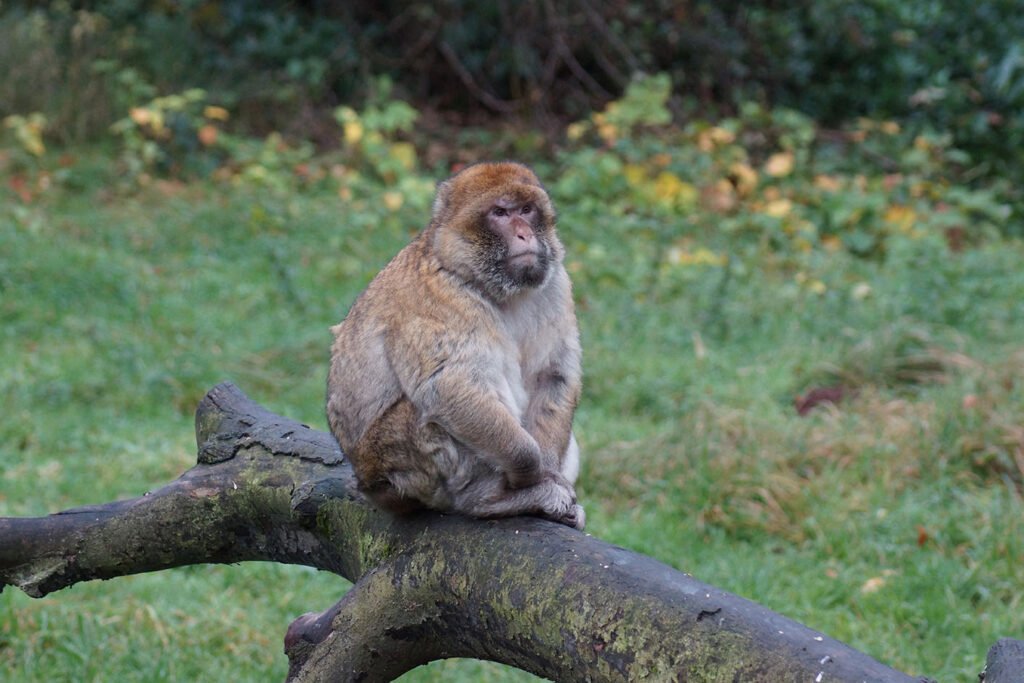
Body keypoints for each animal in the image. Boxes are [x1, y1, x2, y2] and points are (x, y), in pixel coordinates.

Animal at [326, 161, 584, 529]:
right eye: (500, 213)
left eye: (526, 210)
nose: (524, 233)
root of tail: (372, 487)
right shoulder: (442, 298)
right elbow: (449, 384)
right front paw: (530, 470)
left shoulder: (556, 284)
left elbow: (554, 375)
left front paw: (547, 469)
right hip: (397, 463)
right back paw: (488, 500)